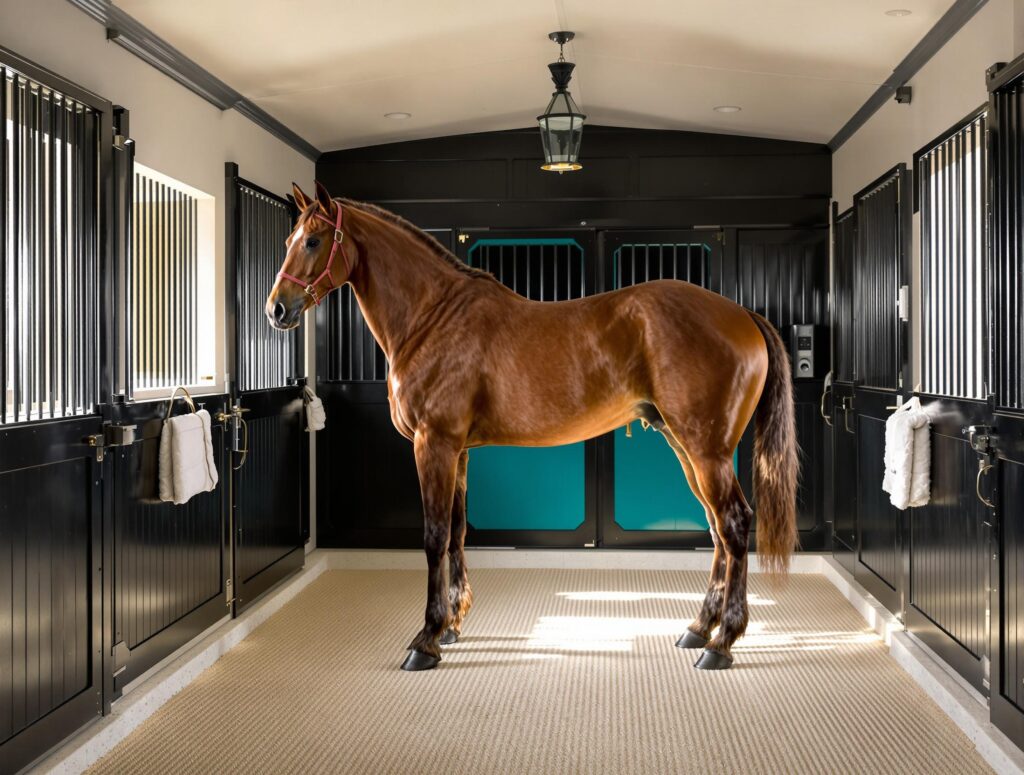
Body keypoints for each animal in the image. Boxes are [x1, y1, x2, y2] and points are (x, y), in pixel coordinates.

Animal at [267, 181, 798, 672]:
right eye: (288, 237)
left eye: (313, 240)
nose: (276, 309)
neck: (432, 317)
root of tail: (741, 314)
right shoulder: (457, 450)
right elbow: (457, 531)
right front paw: (453, 625)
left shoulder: (434, 444)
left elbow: (434, 536)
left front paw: (425, 640)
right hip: (686, 447)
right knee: (716, 529)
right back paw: (698, 628)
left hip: (706, 449)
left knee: (734, 523)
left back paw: (722, 644)